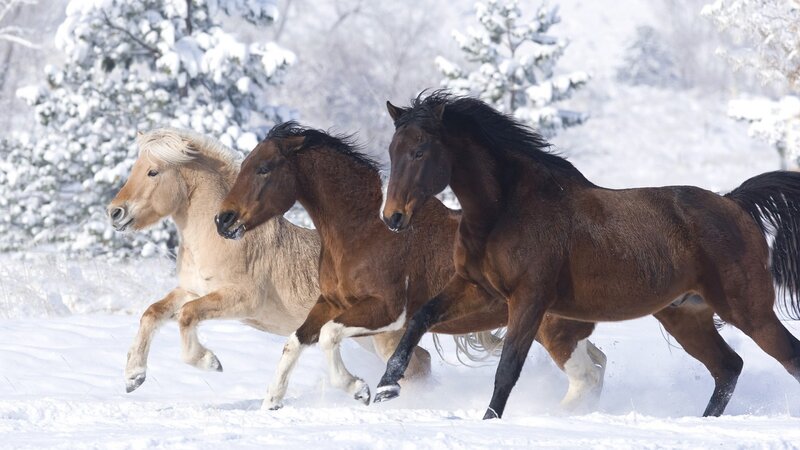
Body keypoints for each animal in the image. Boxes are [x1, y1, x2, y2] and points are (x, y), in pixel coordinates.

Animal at [107, 128, 431, 393]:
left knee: (415, 365)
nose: (115, 213)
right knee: (422, 360)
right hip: (365, 336)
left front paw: (210, 362)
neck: (219, 239)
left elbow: (187, 315)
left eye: (153, 172)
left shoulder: (242, 299)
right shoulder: (192, 289)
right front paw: (133, 376)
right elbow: (152, 313)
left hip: (382, 337)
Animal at [215, 121, 608, 409]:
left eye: (264, 169)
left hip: (552, 329)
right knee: (597, 365)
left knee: (586, 377)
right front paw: (272, 402)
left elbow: (328, 337)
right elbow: (295, 342)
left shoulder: (388, 311)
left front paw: (359, 389)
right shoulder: (330, 302)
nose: (223, 220)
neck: (363, 230)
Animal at [376, 91, 800, 419]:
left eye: (419, 151)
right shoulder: (477, 288)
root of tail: (734, 203)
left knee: (786, 357)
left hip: (749, 311)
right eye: (392, 150)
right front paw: (385, 388)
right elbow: (419, 319)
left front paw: (488, 423)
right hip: (686, 316)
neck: (507, 209)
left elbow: (507, 368)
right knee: (728, 368)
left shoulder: (529, 299)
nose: (392, 217)